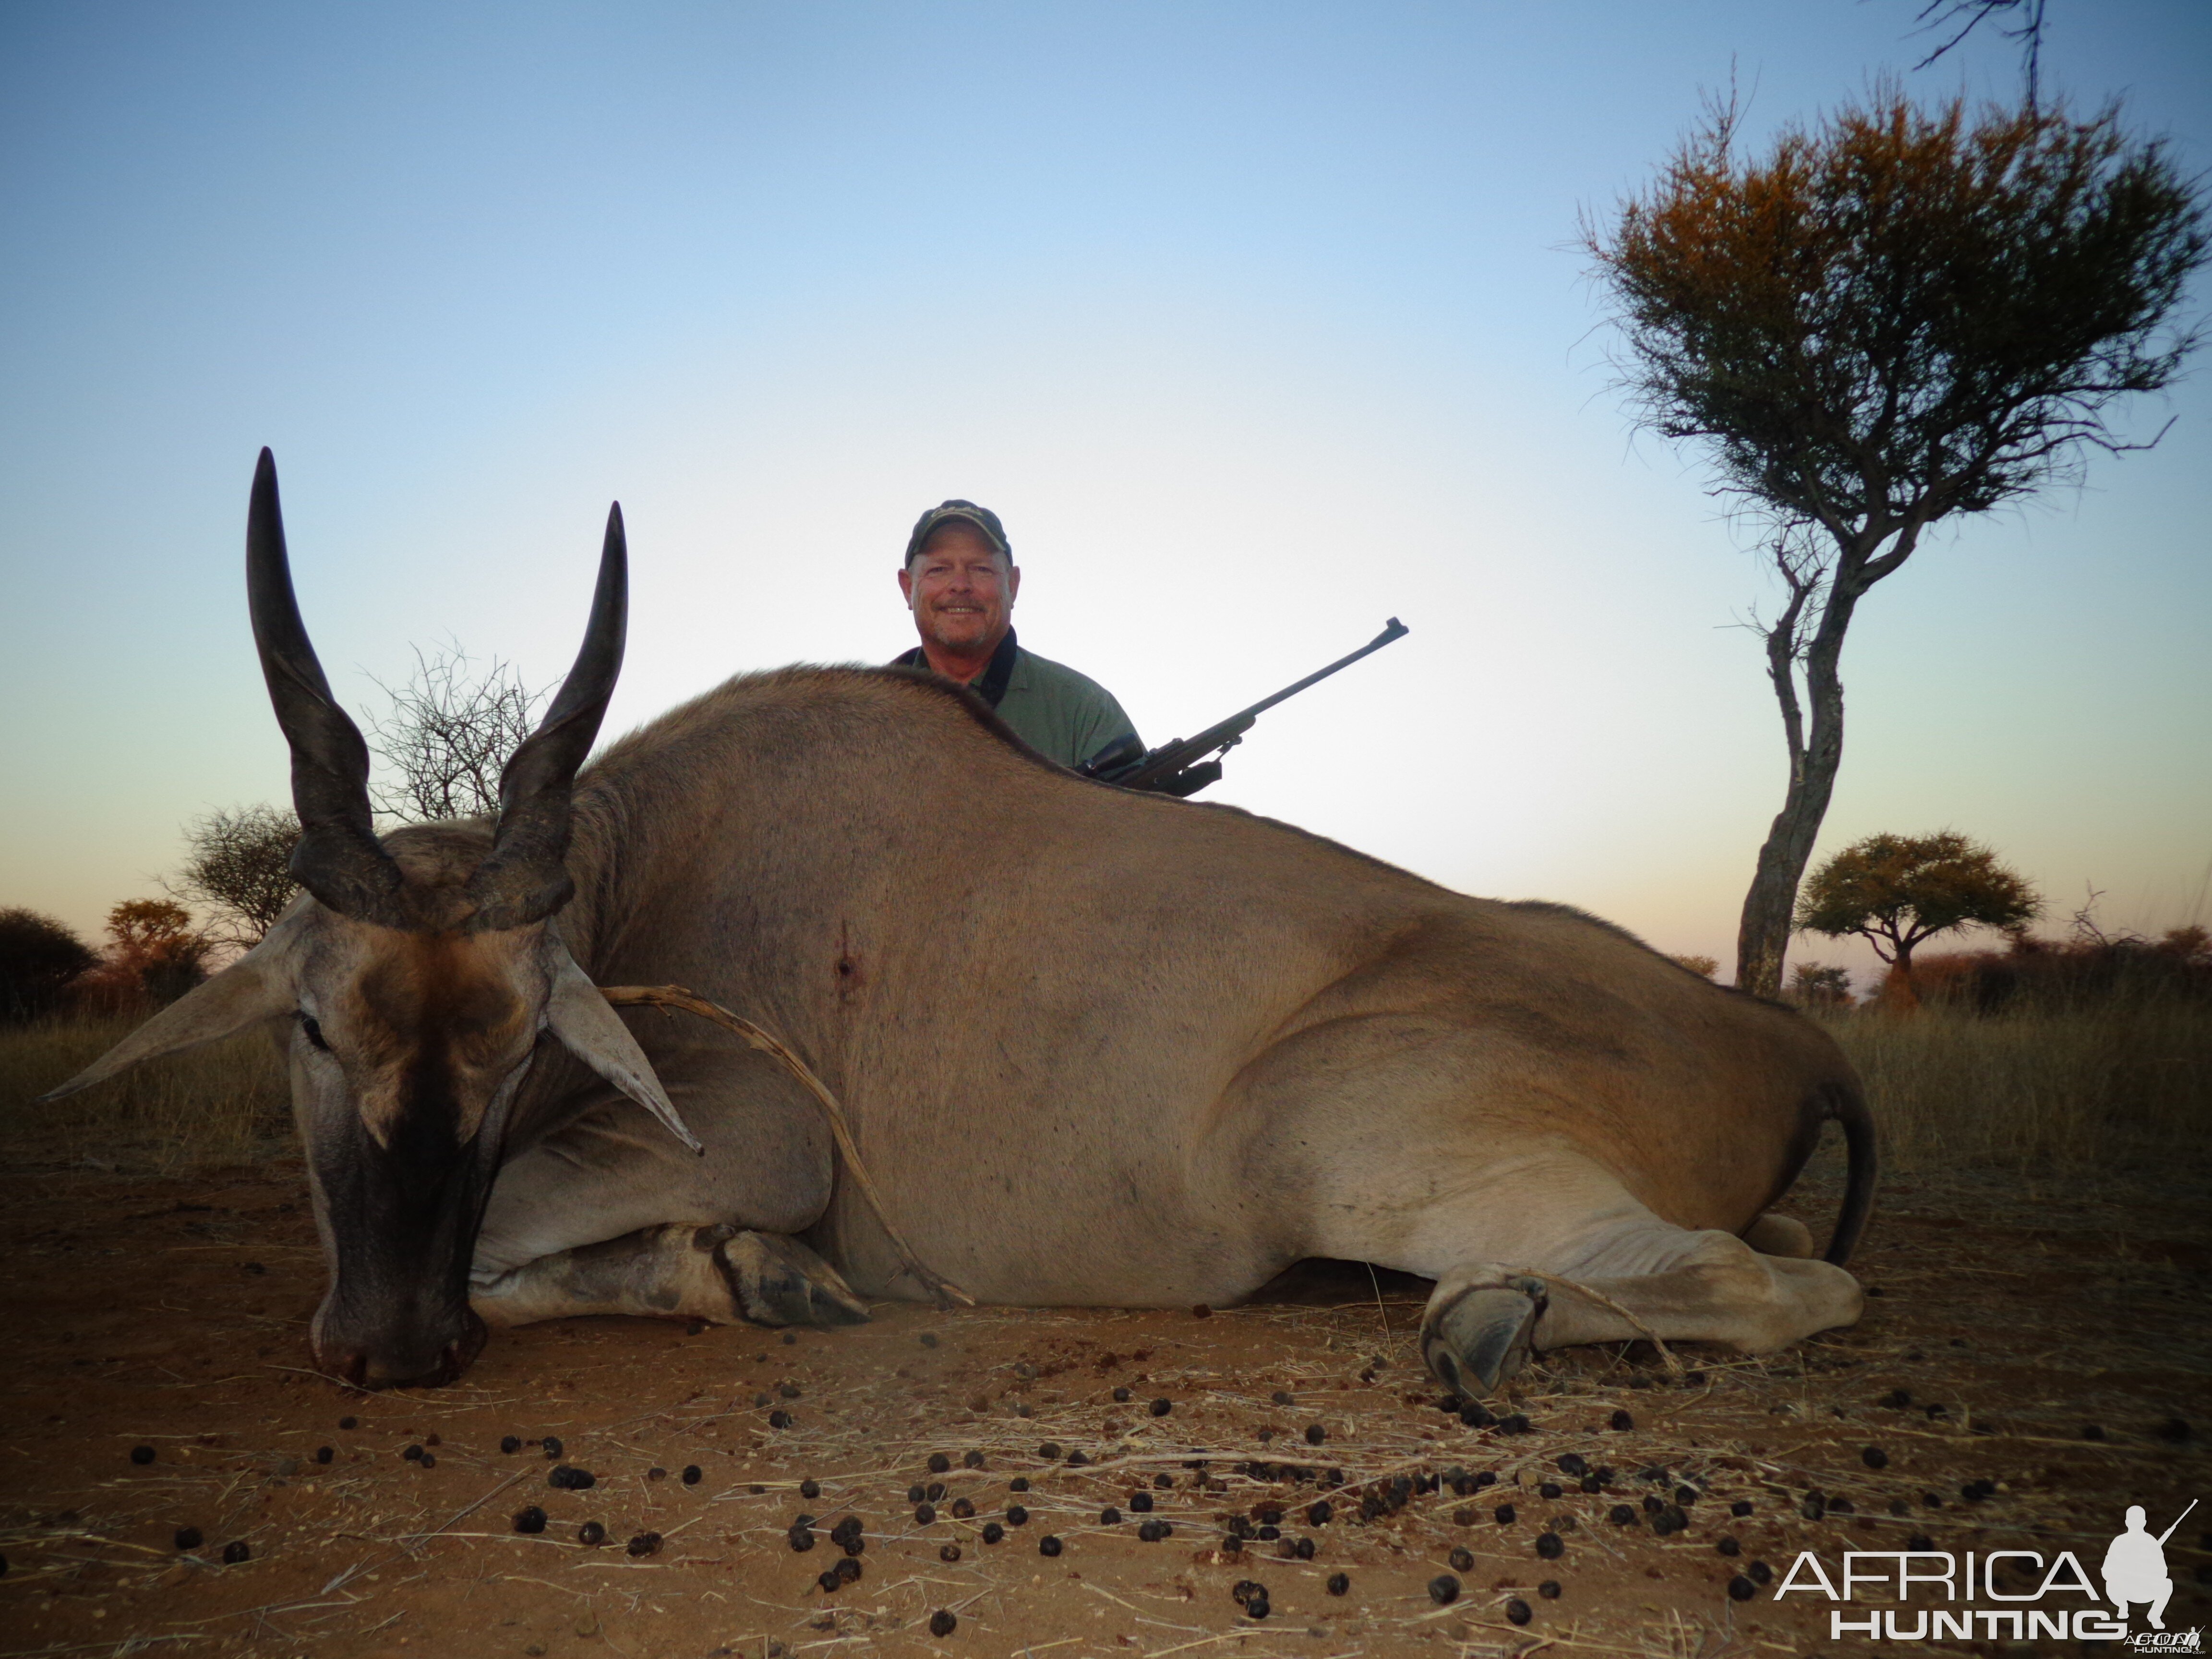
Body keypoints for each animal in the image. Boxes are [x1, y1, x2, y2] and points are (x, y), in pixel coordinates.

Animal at [56, 451, 1867, 1389]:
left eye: (513, 1055)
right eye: (311, 1027)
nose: (391, 1345)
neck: (655, 869)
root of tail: (1776, 1036)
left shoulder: (754, 1138)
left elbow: (522, 1233)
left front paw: (758, 1277)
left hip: (1324, 1145)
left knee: (1779, 1291)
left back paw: (1484, 1322)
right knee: (1776, 1258)